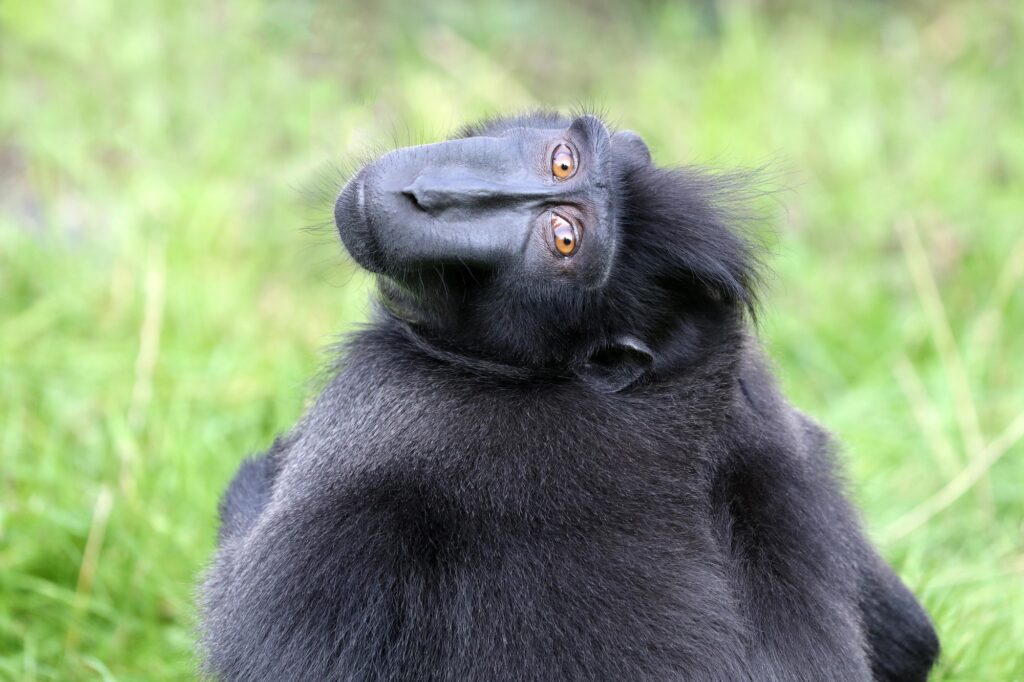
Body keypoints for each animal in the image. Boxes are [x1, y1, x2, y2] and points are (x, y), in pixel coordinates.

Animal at [197, 112, 937, 679]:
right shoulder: (768, 407)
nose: (429, 194)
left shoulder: (392, 413)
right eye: (562, 162)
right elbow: (913, 644)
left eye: (562, 239)